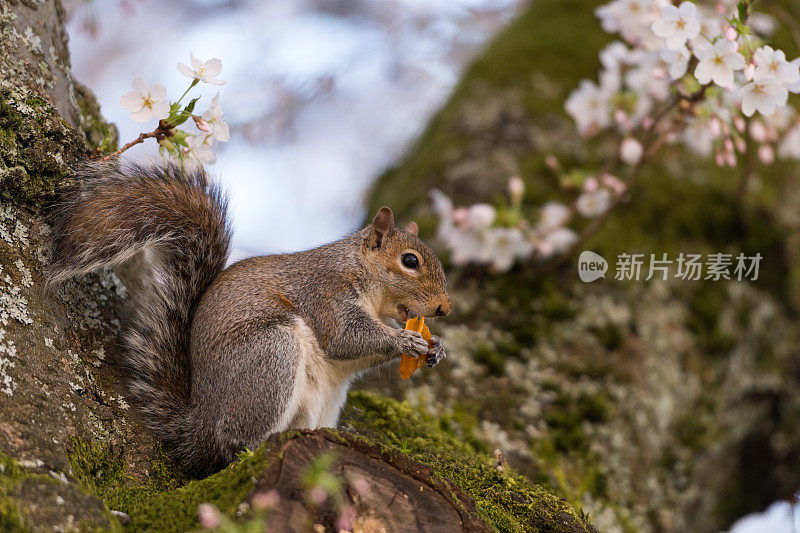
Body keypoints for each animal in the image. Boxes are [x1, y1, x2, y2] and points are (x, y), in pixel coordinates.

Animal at [48, 161, 450, 474]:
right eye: (410, 261)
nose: (445, 308)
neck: (359, 272)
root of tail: (200, 426)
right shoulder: (326, 295)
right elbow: (344, 338)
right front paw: (404, 339)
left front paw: (436, 348)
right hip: (270, 356)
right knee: (235, 445)